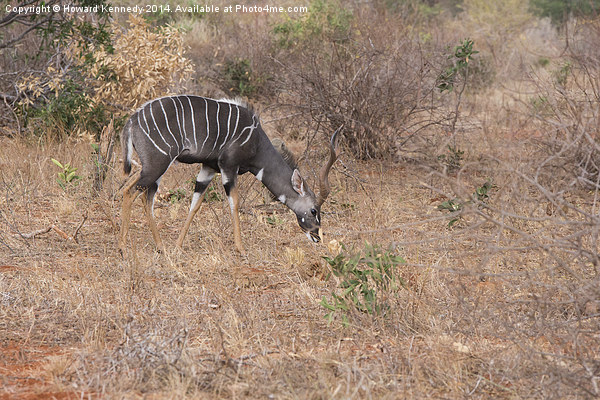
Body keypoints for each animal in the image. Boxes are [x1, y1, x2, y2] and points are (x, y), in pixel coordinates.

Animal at [119, 94, 340, 253]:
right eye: (314, 210)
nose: (317, 236)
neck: (256, 141)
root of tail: (132, 121)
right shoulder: (228, 166)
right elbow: (234, 203)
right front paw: (240, 248)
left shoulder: (208, 168)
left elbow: (195, 204)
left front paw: (178, 245)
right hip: (157, 165)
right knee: (130, 193)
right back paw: (123, 247)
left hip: (154, 169)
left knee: (143, 196)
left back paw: (160, 246)